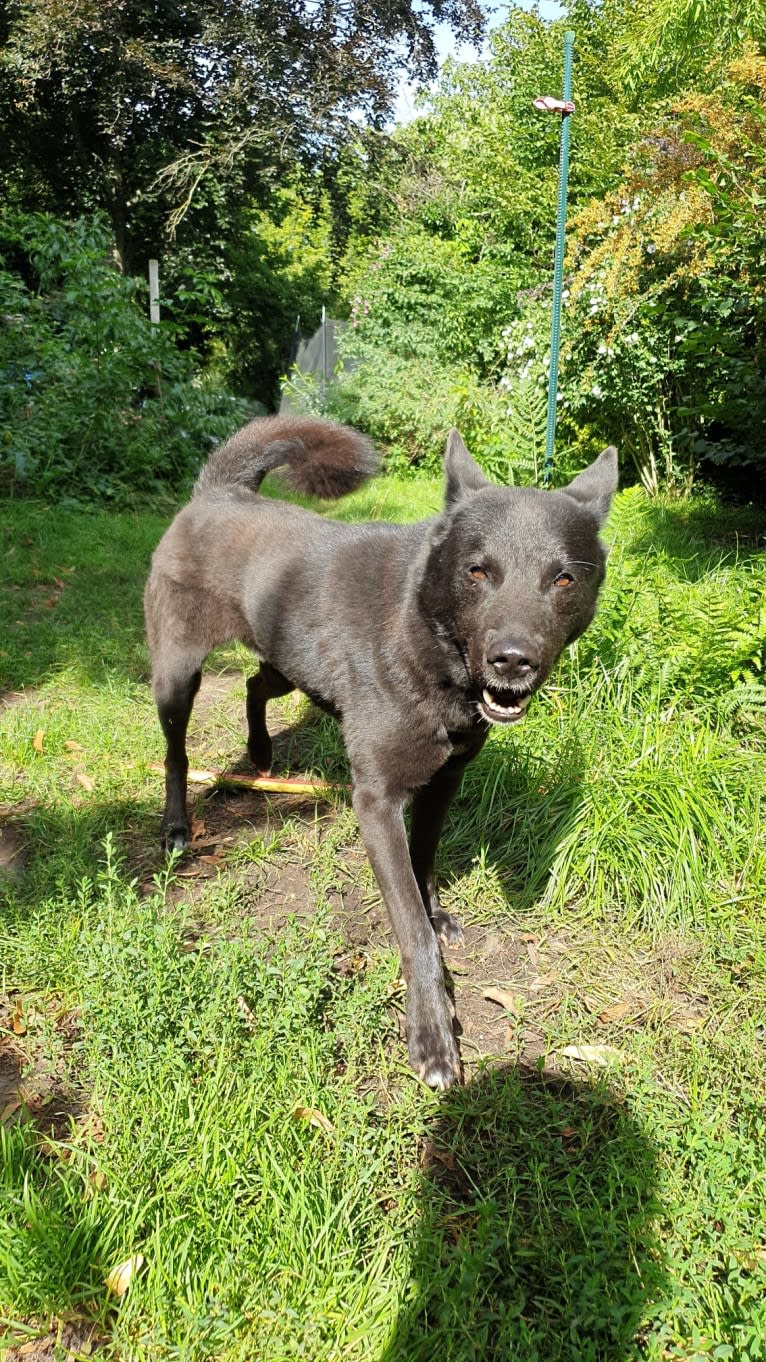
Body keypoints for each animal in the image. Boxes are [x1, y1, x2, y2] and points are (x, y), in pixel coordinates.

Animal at [144, 414, 613, 1084]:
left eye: (564, 578)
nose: (513, 660)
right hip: (177, 675)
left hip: (290, 663)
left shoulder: (445, 781)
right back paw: (178, 827)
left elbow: (426, 860)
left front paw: (438, 913)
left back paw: (260, 754)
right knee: (177, 753)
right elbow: (411, 929)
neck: (428, 640)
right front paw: (433, 1033)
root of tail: (218, 493)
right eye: (478, 571)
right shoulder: (377, 802)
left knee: (256, 685)